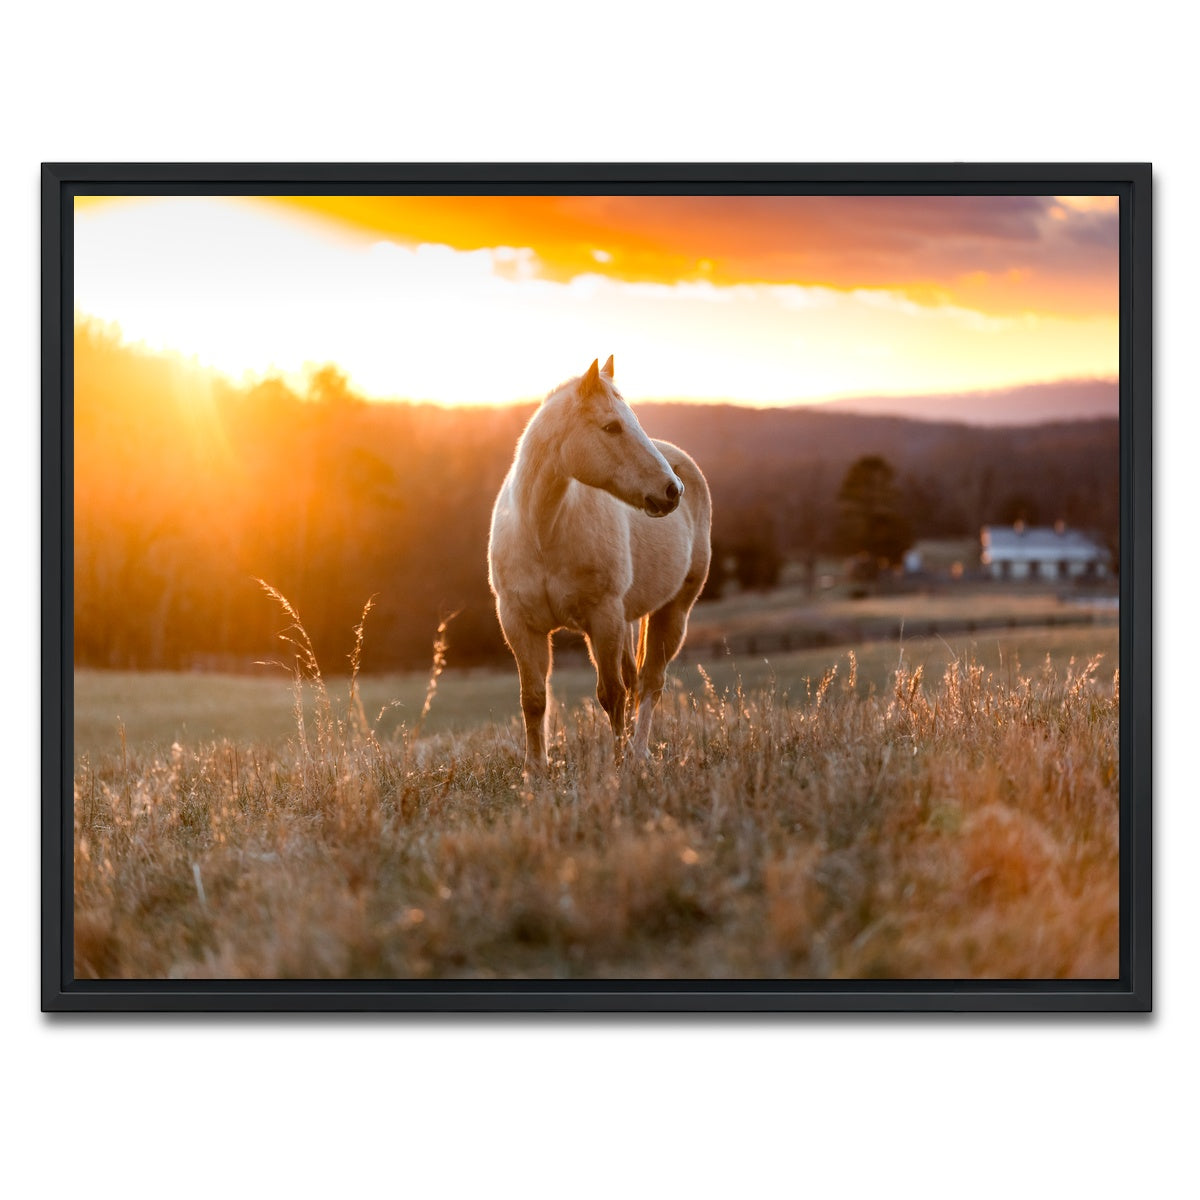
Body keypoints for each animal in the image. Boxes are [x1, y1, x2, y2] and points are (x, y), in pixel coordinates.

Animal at [487, 356, 712, 776]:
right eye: (612, 427)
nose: (671, 491)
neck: (543, 531)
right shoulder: (519, 624)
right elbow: (534, 698)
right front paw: (534, 770)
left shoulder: (602, 618)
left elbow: (612, 694)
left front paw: (618, 764)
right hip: (628, 618)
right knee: (637, 679)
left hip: (672, 612)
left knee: (650, 682)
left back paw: (639, 752)